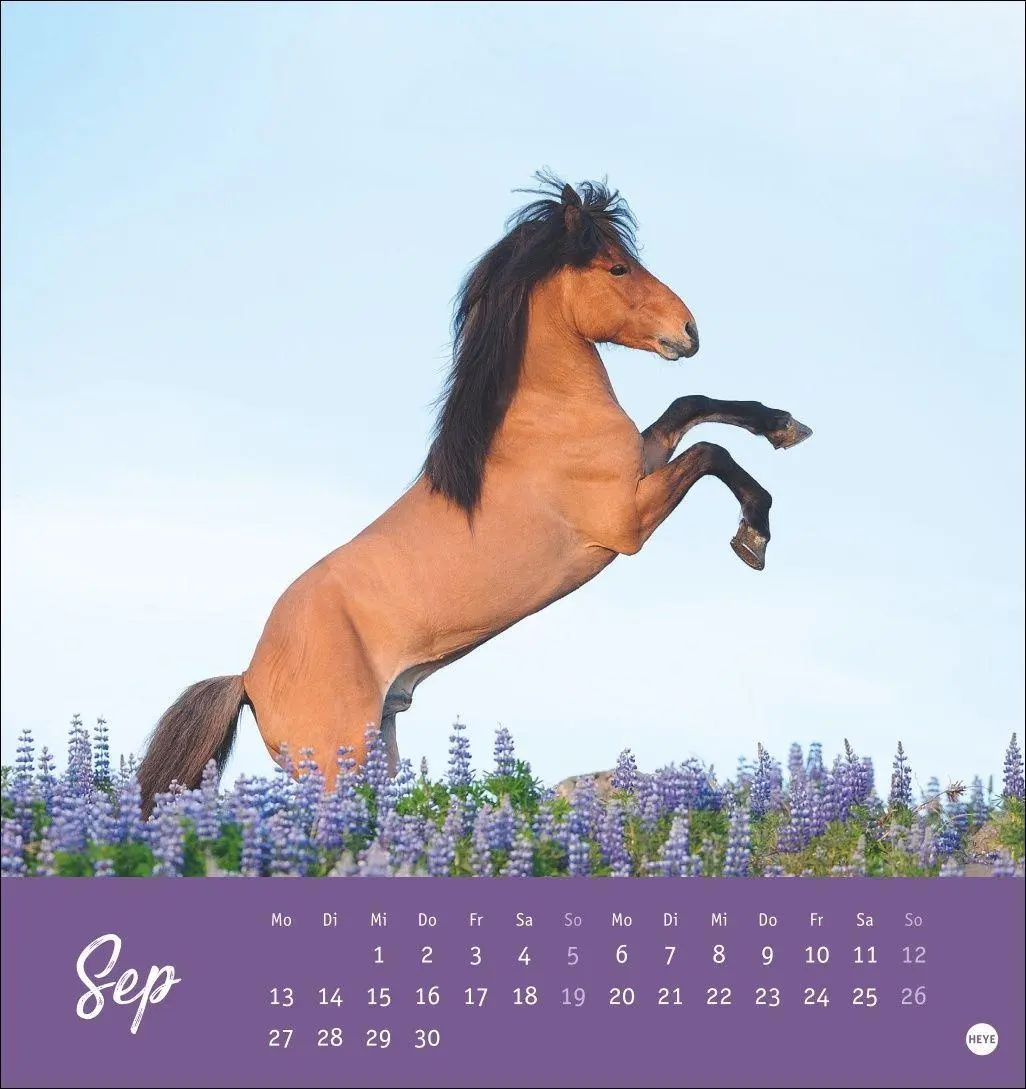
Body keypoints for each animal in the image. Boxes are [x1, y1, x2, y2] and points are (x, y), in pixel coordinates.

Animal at [137, 172, 812, 813]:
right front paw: (753, 536)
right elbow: (709, 453)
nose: (689, 330)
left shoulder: (641, 463)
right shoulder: (627, 518)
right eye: (617, 266)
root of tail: (249, 676)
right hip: (338, 764)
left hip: (377, 752)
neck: (541, 418)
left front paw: (784, 427)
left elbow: (691, 406)